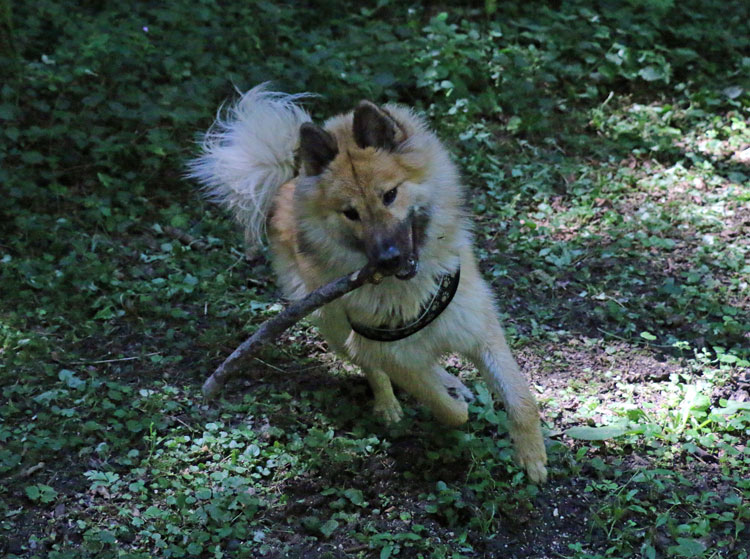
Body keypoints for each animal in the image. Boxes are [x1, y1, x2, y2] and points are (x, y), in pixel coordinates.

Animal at [191, 85, 548, 484]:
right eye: (351, 213)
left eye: (389, 195)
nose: (389, 259)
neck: (413, 291)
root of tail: (287, 185)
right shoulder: (388, 352)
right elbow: (441, 404)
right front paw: (450, 404)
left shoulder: (479, 329)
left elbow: (519, 397)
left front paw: (533, 457)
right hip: (334, 328)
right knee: (373, 369)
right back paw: (391, 403)